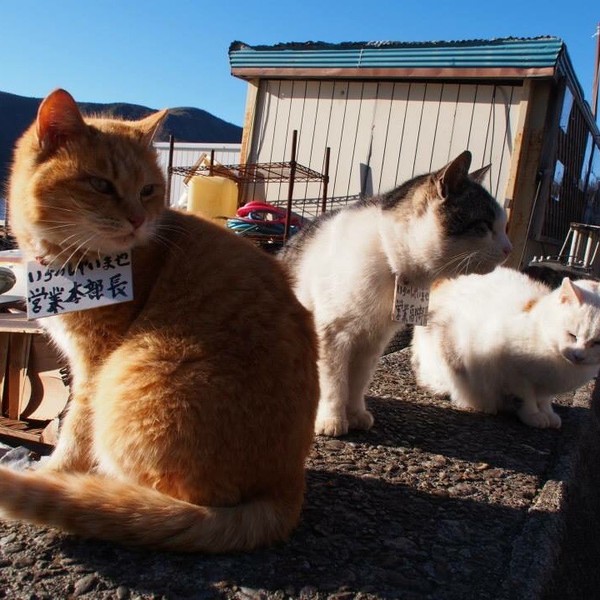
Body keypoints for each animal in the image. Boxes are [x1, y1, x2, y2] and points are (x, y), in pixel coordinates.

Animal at [0, 88, 319, 552]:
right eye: (101, 185)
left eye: (148, 189)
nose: (138, 219)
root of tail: (286, 489)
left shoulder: (93, 367)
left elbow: (74, 429)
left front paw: (54, 472)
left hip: (134, 376)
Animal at [279, 151, 512, 437]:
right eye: (484, 226)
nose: (509, 249)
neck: (388, 259)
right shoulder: (332, 334)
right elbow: (334, 382)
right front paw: (331, 420)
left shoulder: (372, 341)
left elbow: (357, 382)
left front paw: (355, 414)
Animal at [411, 267, 600, 428]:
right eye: (572, 335)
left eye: (596, 343)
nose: (578, 355)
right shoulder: (512, 373)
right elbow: (526, 397)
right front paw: (533, 415)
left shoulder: (548, 387)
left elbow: (545, 400)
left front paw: (548, 413)